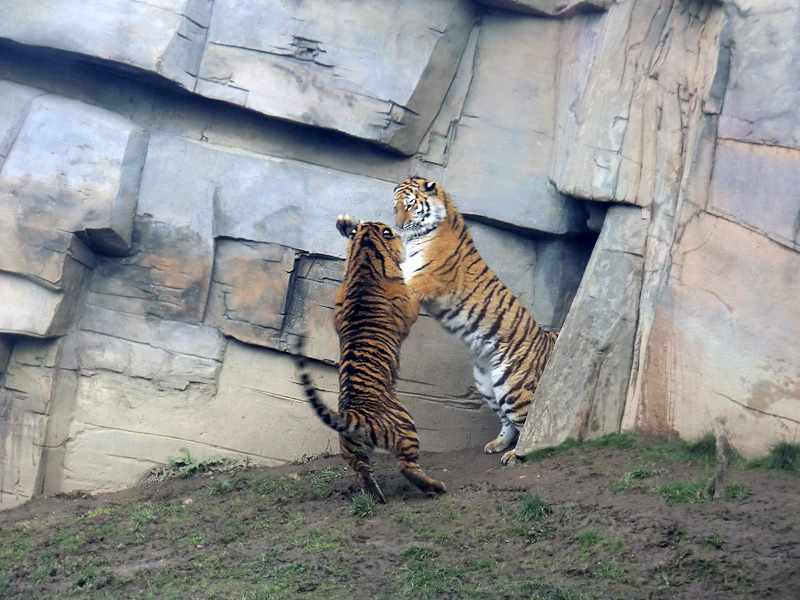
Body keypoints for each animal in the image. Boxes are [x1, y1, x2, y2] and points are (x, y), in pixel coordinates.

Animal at [292, 213, 444, 504]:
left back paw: (377, 497)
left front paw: (346, 223)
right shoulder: (407, 308)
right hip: (406, 427)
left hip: (352, 449)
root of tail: (354, 415)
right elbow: (412, 295)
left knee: (362, 471)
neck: (364, 259)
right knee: (406, 466)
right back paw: (436, 486)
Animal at [392, 176, 556, 466]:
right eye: (396, 206)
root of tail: (548, 340)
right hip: (487, 382)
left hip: (515, 386)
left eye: (410, 205)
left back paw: (514, 456)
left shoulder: (424, 279)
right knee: (507, 421)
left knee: (528, 422)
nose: (399, 226)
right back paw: (497, 445)